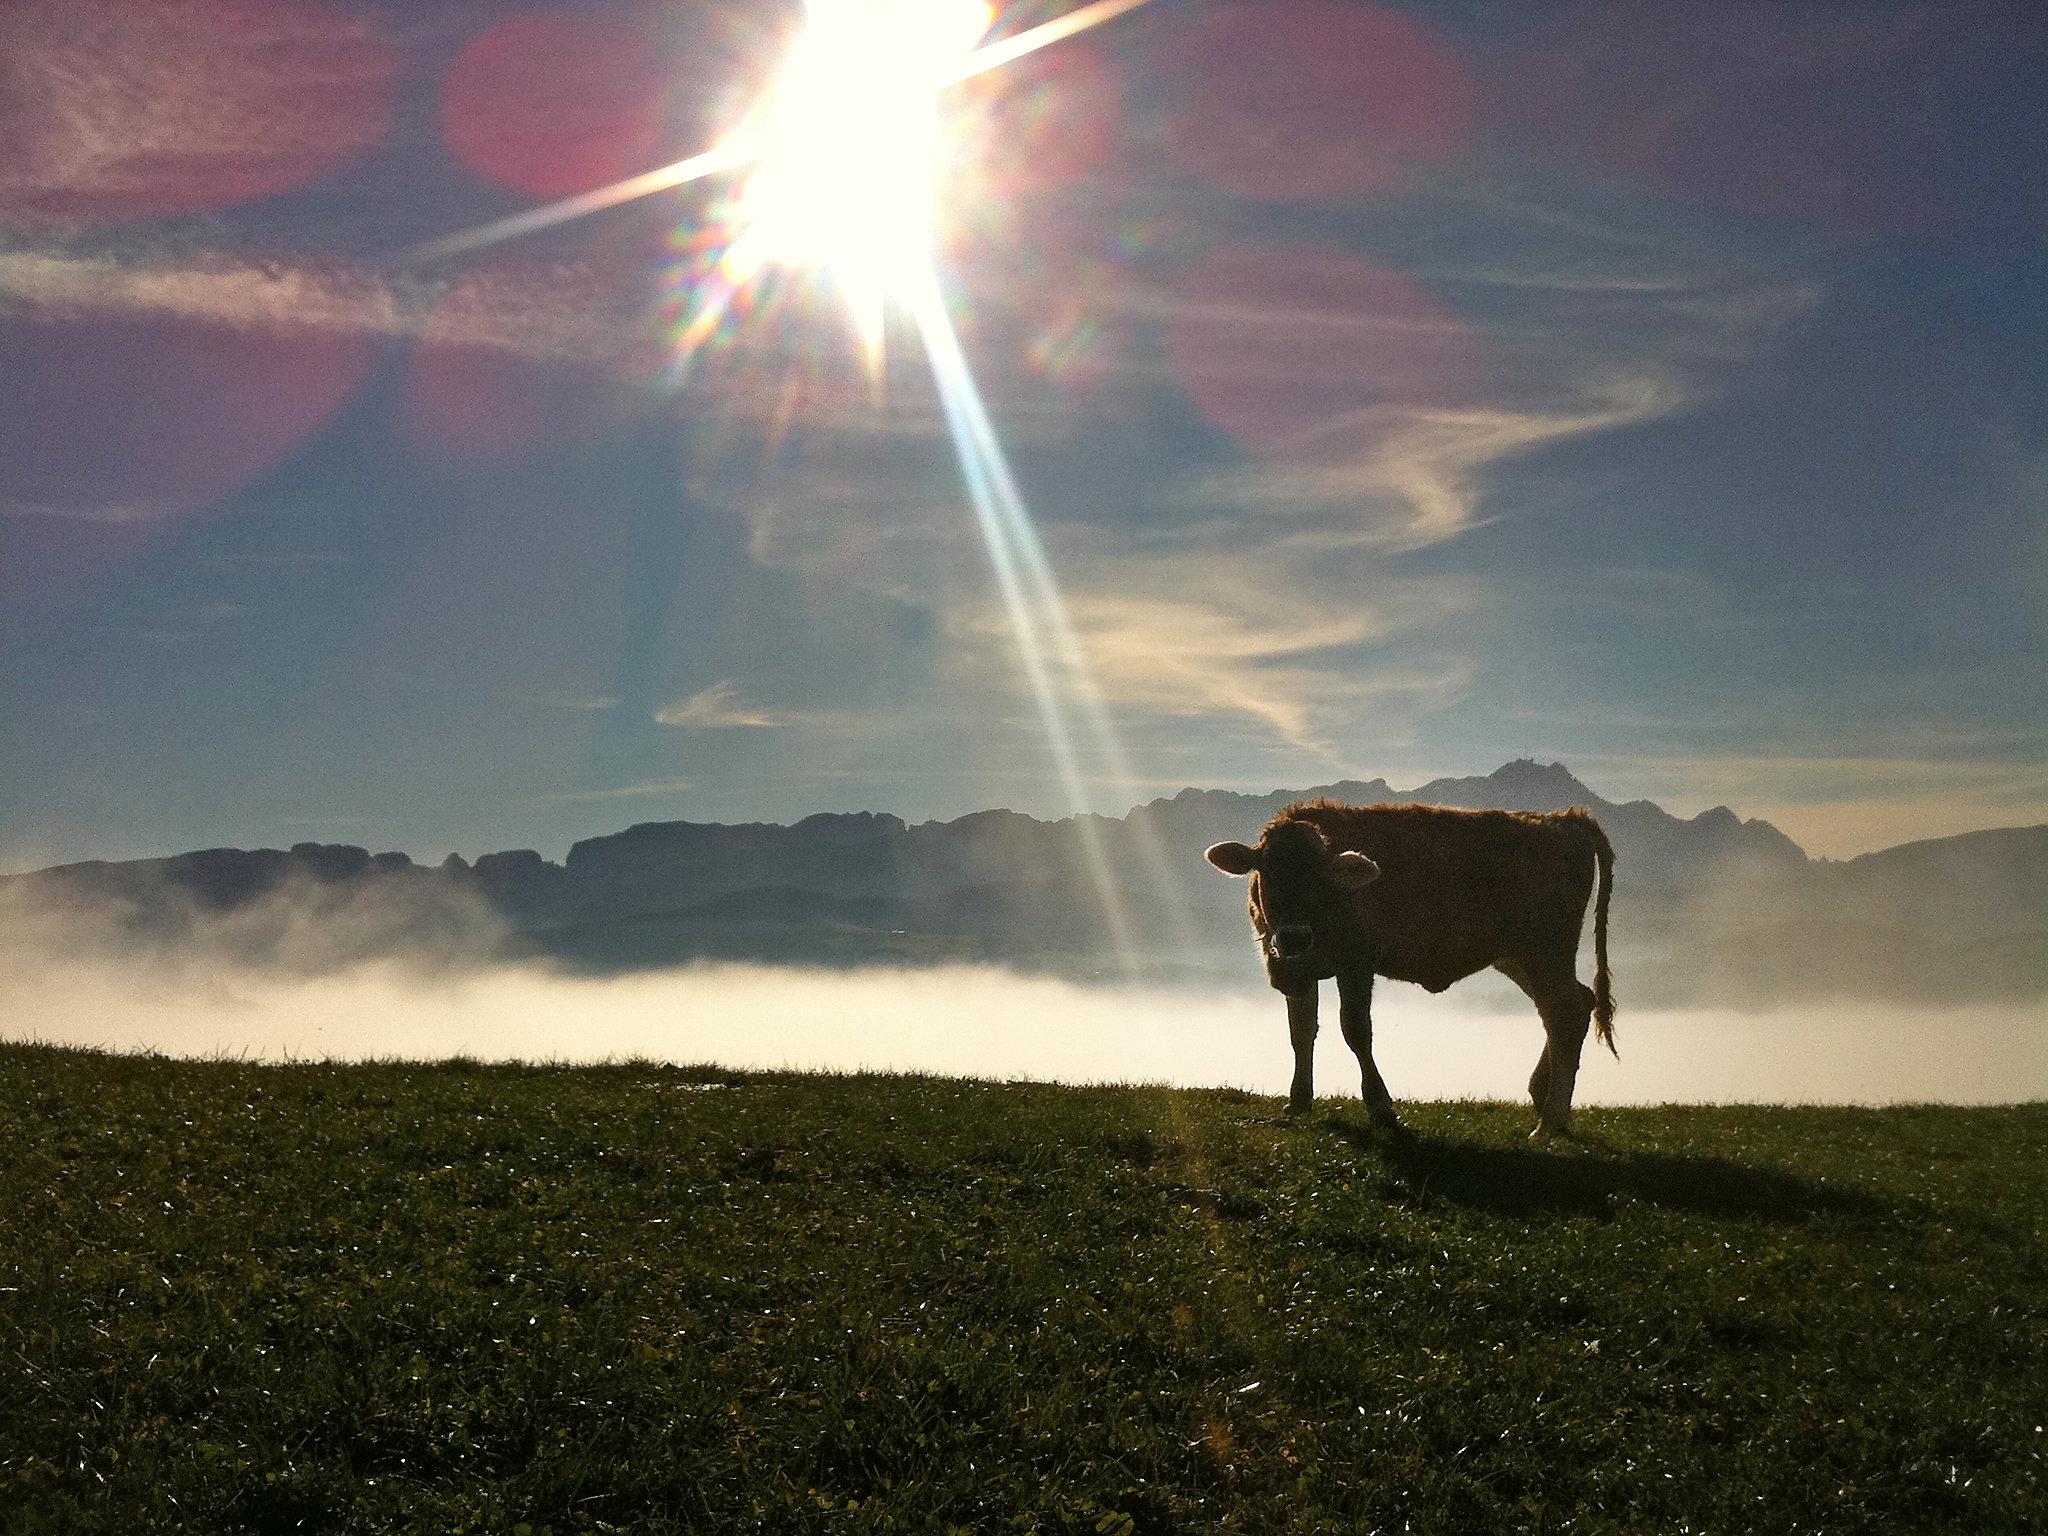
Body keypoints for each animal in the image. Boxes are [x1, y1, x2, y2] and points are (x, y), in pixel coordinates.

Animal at [1196, 806, 1613, 1146]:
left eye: (1321, 877)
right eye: (1267, 870)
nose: (1294, 935)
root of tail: (1565, 819)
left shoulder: (1356, 962)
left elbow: (1355, 1031)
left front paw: (1381, 1107)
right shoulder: (1293, 969)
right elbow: (1300, 1033)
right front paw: (1298, 1100)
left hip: (1545, 947)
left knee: (1563, 1012)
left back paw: (1549, 1122)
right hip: (1517, 955)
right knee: (1572, 1005)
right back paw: (1542, 1099)